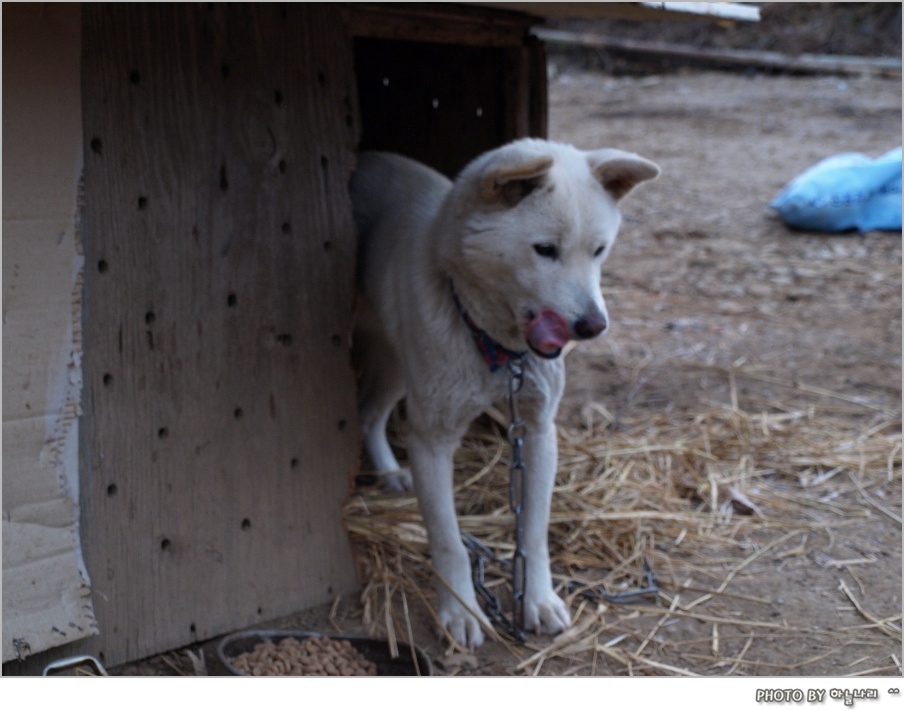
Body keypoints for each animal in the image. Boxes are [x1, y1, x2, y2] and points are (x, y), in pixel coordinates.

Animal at [352, 139, 656, 652]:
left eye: (599, 251)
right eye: (545, 250)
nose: (594, 326)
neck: (495, 348)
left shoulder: (537, 431)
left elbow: (533, 533)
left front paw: (538, 601)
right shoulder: (431, 440)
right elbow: (449, 541)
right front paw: (461, 612)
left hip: (396, 365)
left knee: (372, 414)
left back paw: (391, 473)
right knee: (367, 413)